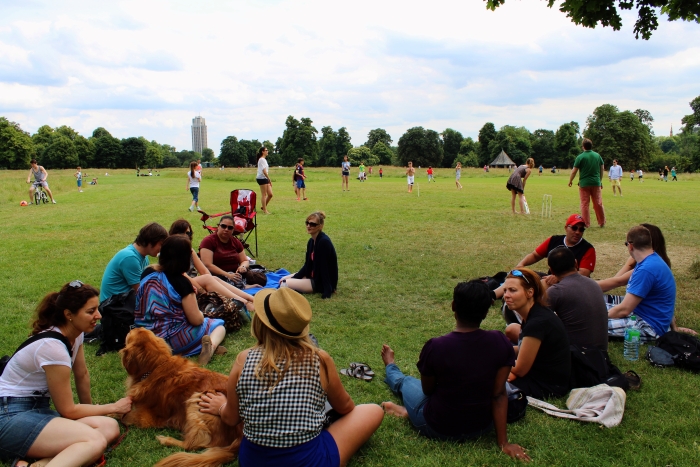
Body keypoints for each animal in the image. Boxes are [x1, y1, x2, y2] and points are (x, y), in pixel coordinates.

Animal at [119, 330, 242, 467]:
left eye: (129, 335)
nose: (131, 328)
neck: (156, 366)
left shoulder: (149, 417)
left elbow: (125, 417)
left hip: (197, 399)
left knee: (192, 445)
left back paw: (166, 440)